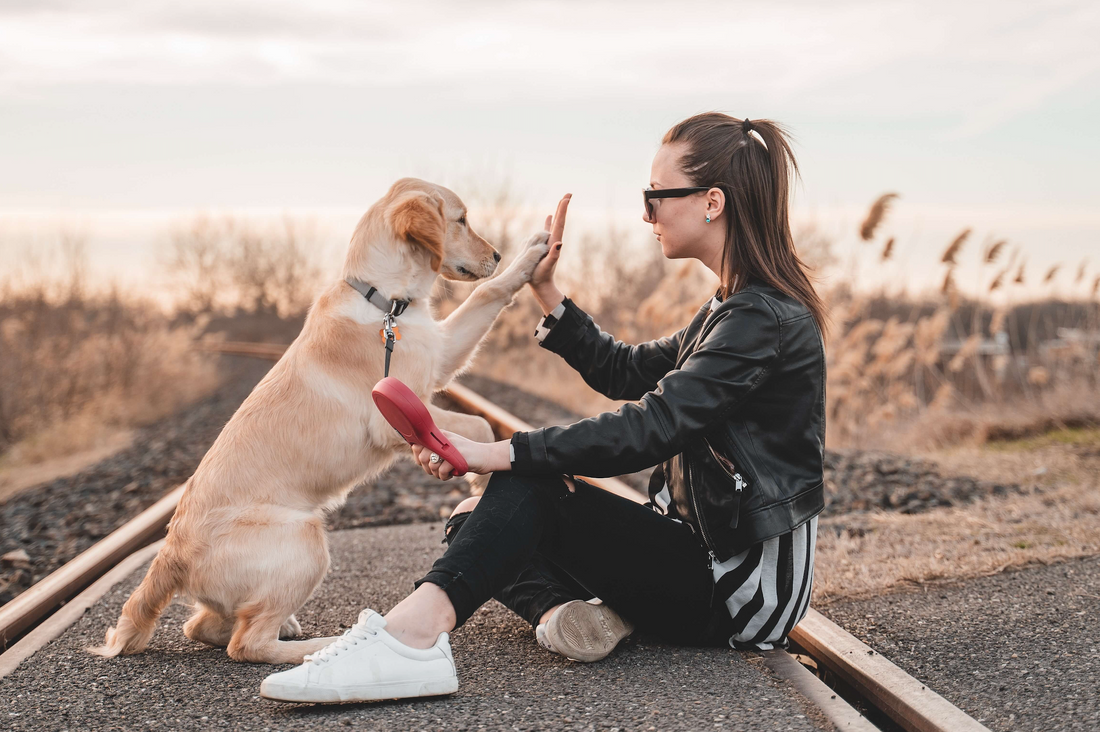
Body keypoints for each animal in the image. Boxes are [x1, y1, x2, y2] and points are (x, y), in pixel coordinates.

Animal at [90, 177, 550, 660]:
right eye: (461, 220)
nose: (496, 254)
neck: (385, 303)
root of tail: (170, 554)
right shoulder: (393, 414)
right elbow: (478, 426)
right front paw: (482, 481)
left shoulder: (439, 355)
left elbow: (488, 293)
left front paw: (530, 254)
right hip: (306, 538)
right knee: (246, 643)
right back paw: (327, 644)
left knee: (202, 626)